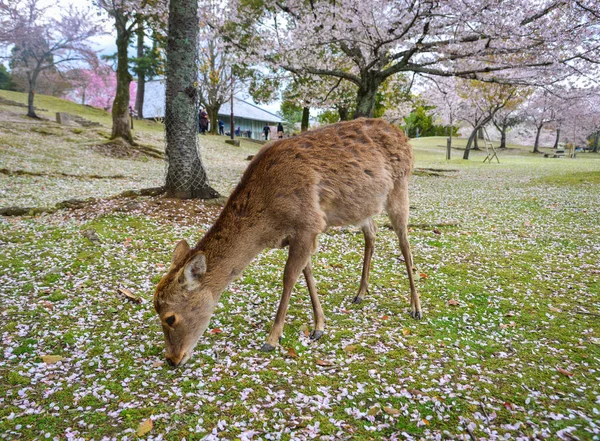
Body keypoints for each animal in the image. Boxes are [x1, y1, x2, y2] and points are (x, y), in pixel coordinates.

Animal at [152, 117, 420, 368]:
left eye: (170, 317)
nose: (172, 359)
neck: (268, 220)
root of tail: (403, 136)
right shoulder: (300, 235)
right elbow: (307, 272)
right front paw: (319, 326)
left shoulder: (308, 223)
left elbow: (290, 276)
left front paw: (272, 339)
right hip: (364, 207)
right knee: (372, 232)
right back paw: (361, 293)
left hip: (400, 188)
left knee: (405, 243)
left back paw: (415, 308)